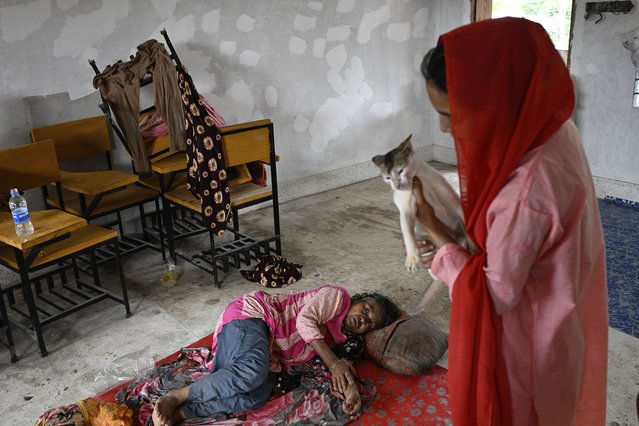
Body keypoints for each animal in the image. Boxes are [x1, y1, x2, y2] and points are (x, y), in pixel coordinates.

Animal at [372, 136, 472, 312]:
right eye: (387, 178)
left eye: (400, 171)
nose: (397, 186)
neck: (420, 180)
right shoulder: (408, 206)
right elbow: (406, 229)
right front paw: (412, 257)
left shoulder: (452, 199)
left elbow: (462, 212)